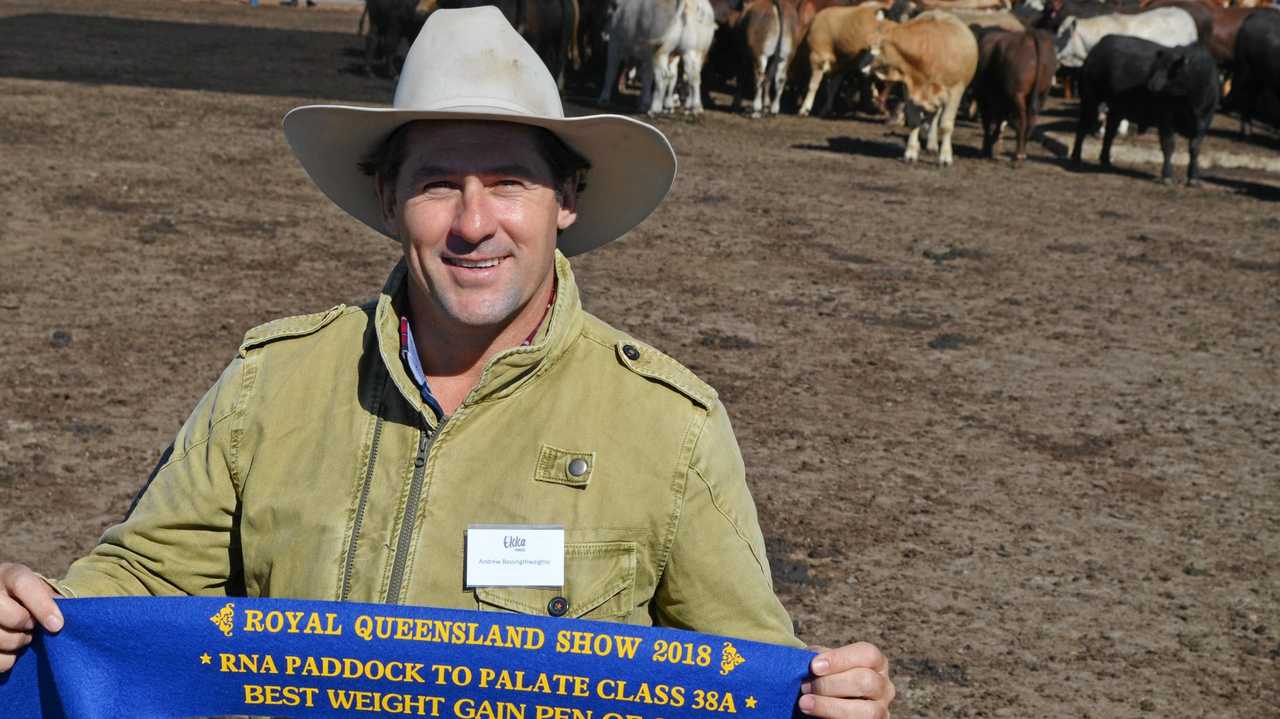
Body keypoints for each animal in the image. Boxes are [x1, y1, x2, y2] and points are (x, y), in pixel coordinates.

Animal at [870, 10, 977, 163]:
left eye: (876, 50)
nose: (863, 69)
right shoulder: (909, 90)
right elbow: (914, 122)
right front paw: (911, 152)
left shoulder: (955, 92)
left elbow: (946, 125)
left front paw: (945, 156)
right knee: (931, 117)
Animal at [972, 27, 1054, 159]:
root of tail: (1030, 36)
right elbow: (998, 124)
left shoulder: (985, 99)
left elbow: (988, 123)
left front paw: (986, 149)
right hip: (1042, 94)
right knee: (1031, 121)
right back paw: (1022, 152)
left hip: (1017, 95)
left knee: (1021, 120)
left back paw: (1018, 154)